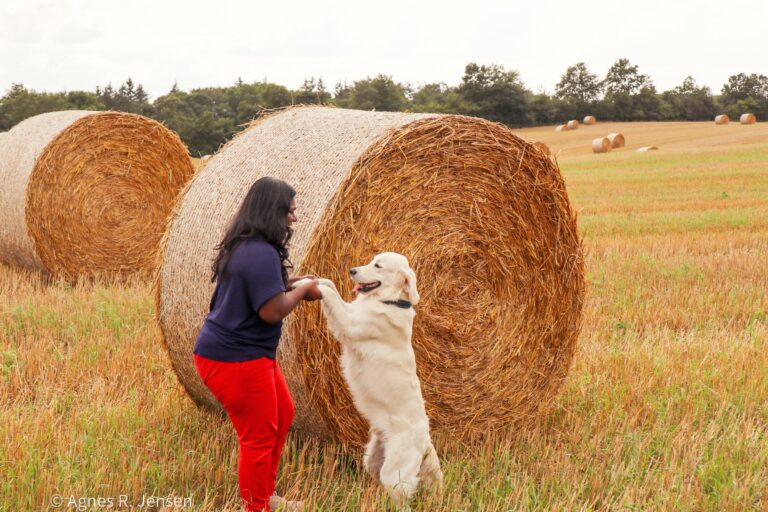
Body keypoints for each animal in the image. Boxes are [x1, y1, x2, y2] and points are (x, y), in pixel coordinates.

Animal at [294, 254, 440, 510]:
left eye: (378, 266)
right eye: (372, 260)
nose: (352, 270)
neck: (390, 301)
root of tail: (426, 440)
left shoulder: (351, 324)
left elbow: (329, 294)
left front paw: (308, 285)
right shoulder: (350, 311)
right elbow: (332, 286)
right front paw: (313, 279)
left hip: (395, 475)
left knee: (403, 501)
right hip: (372, 461)